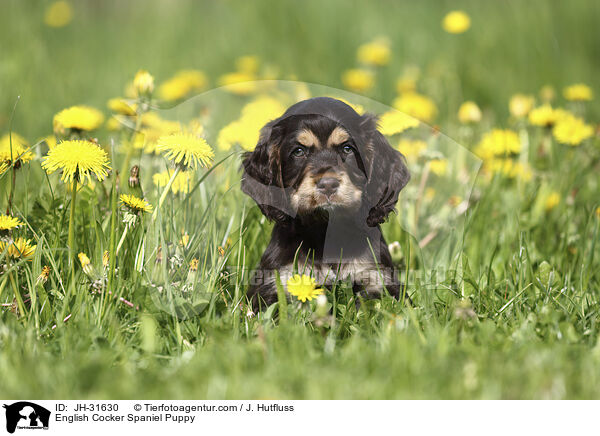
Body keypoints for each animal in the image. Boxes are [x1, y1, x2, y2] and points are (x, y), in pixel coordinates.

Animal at [241, 97, 410, 308]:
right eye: (298, 151)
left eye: (347, 149)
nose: (328, 184)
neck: (324, 230)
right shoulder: (276, 283)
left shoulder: (376, 277)